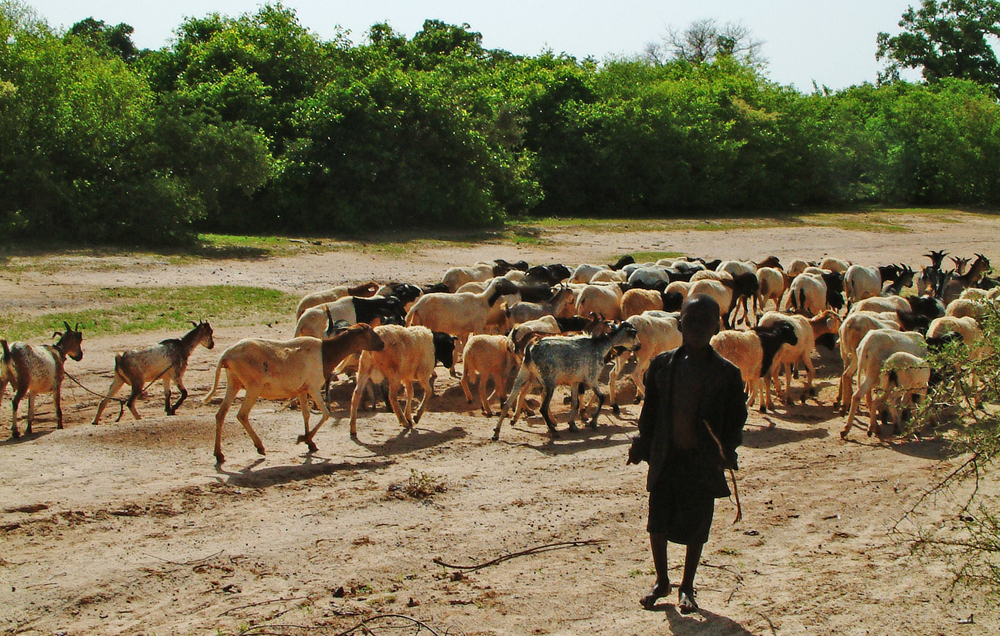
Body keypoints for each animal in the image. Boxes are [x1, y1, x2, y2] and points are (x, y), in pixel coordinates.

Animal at [202, 322, 382, 462]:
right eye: (369, 332)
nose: (382, 344)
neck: (325, 352)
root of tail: (226, 355)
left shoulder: (302, 389)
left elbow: (306, 415)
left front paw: (310, 443)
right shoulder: (313, 387)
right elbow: (325, 414)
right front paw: (304, 438)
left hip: (233, 383)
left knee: (221, 414)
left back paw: (219, 454)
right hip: (253, 387)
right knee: (242, 415)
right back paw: (260, 447)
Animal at [492, 322, 640, 442]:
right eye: (633, 334)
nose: (639, 346)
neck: (599, 345)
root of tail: (530, 348)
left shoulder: (575, 381)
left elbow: (575, 403)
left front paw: (572, 425)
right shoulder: (591, 379)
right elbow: (602, 397)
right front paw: (593, 422)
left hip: (523, 374)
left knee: (507, 402)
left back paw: (496, 433)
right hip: (549, 382)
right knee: (542, 407)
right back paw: (553, 431)